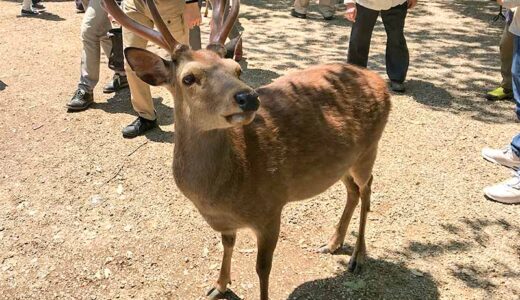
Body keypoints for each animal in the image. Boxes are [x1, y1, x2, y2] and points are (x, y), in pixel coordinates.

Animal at [102, 0, 390, 298]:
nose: (249, 97)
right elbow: (227, 244)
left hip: (370, 148)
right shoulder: (226, 222)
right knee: (353, 191)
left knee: (367, 188)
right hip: (344, 161)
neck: (225, 193)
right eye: (189, 78)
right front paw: (218, 285)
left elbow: (262, 269)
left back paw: (358, 256)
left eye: (236, 69)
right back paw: (333, 243)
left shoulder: (272, 208)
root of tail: (381, 82)